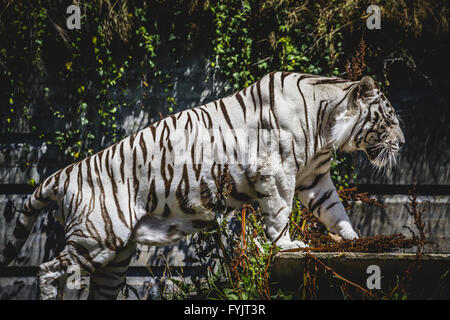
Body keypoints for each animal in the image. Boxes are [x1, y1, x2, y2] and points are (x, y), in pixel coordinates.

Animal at [0, 71, 406, 298]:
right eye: (389, 120)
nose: (402, 143)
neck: (326, 126)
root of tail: (65, 172)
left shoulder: (314, 177)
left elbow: (334, 210)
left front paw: (351, 240)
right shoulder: (277, 172)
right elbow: (278, 213)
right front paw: (287, 245)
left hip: (115, 257)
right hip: (97, 238)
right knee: (48, 270)